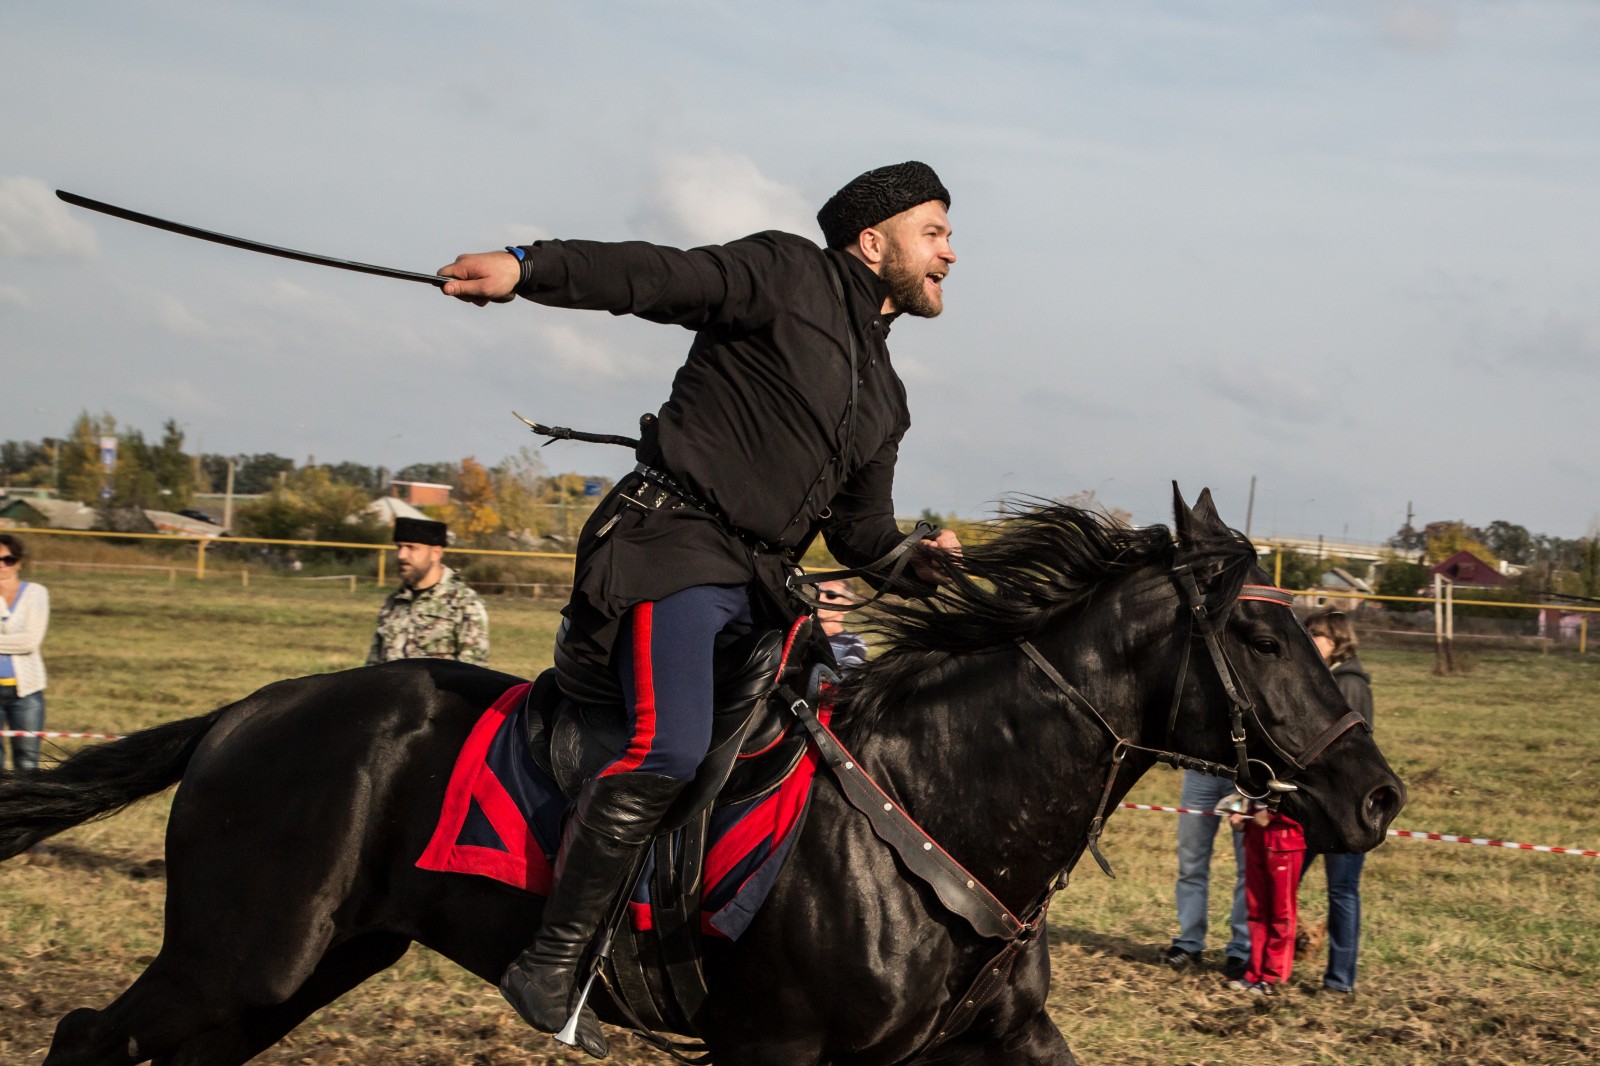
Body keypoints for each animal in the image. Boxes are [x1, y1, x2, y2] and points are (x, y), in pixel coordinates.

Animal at [0, 486, 1401, 1056]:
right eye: (1262, 637)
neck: (941, 797)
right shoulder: (771, 1047)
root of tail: (245, 715)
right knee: (84, 1036)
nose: (1377, 795)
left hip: (297, 969)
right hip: (240, 959)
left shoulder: (995, 1036)